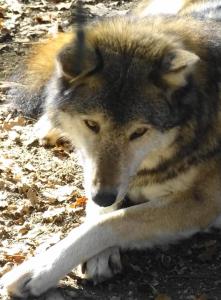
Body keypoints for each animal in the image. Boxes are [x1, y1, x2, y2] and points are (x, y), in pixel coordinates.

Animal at [2, 0, 221, 298]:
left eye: (139, 132)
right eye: (92, 124)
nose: (104, 197)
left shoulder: (200, 202)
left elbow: (110, 222)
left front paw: (36, 271)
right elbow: (100, 212)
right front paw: (99, 255)